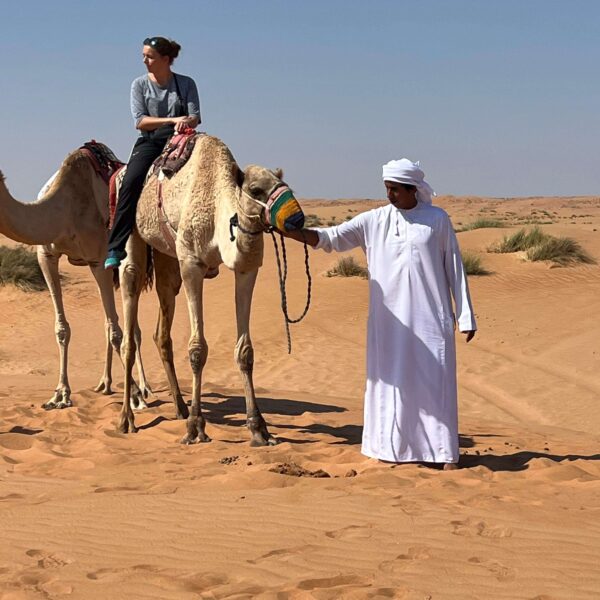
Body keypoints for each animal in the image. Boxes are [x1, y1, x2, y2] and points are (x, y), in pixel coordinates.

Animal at [0, 150, 150, 412]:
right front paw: (60, 395)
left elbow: (117, 332)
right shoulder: (46, 255)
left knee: (133, 328)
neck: (63, 208)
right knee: (112, 322)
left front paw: (133, 394)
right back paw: (105, 384)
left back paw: (143, 387)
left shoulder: (98, 259)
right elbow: (62, 328)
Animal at [118, 136, 304, 446]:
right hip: (132, 230)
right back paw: (127, 418)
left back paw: (180, 407)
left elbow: (245, 351)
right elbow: (197, 349)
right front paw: (195, 427)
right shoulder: (192, 263)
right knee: (129, 299)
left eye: (284, 184)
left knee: (163, 319)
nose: (297, 219)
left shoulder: (246, 267)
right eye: (256, 189)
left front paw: (258, 428)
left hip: (168, 258)